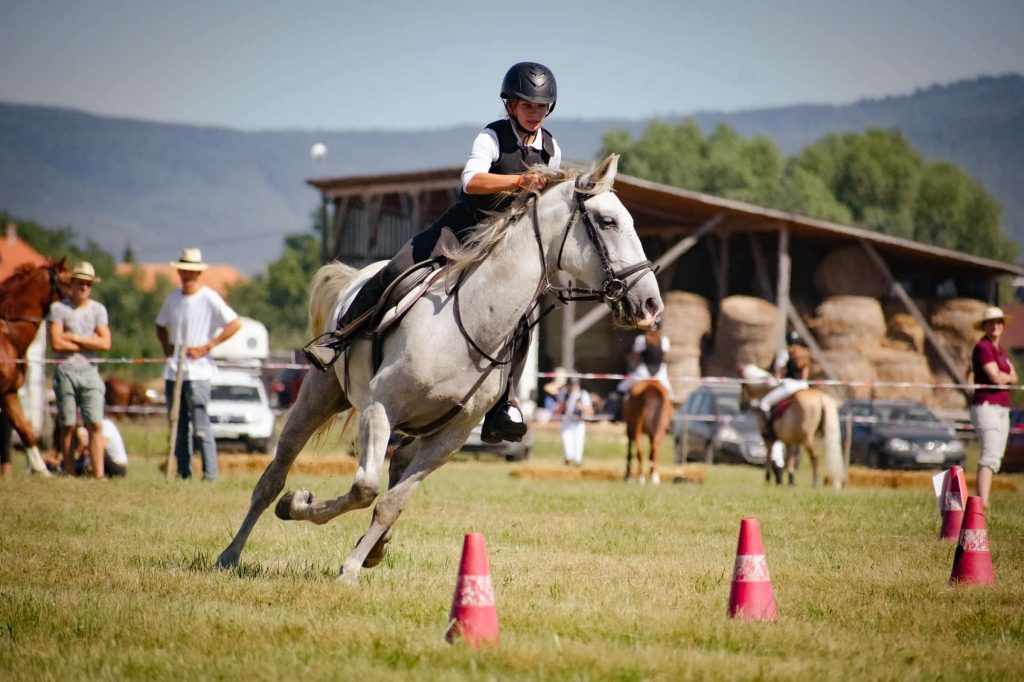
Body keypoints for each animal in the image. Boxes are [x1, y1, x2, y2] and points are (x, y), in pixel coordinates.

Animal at [217, 156, 663, 581]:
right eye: (607, 222)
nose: (650, 305)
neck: (471, 321)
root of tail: (358, 274)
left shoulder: (451, 436)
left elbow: (391, 501)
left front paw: (356, 562)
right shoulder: (379, 408)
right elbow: (364, 489)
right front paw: (301, 505)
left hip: (419, 425)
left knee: (396, 465)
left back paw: (374, 546)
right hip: (320, 393)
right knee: (274, 475)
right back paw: (232, 553)